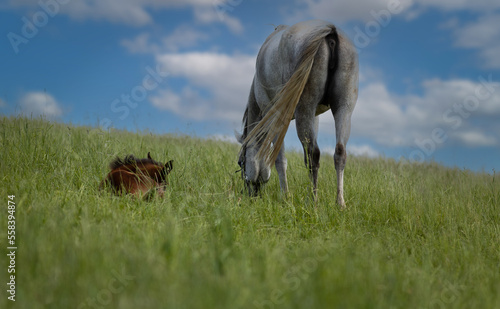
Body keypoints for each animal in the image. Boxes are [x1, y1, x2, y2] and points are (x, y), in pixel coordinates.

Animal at [236, 18, 358, 207]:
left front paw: (285, 196)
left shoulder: (274, 116)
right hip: (343, 108)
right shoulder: (315, 116)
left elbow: (279, 159)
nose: (251, 195)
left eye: (241, 163)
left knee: (313, 154)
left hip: (304, 109)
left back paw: (313, 201)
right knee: (340, 152)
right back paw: (340, 203)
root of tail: (329, 31)